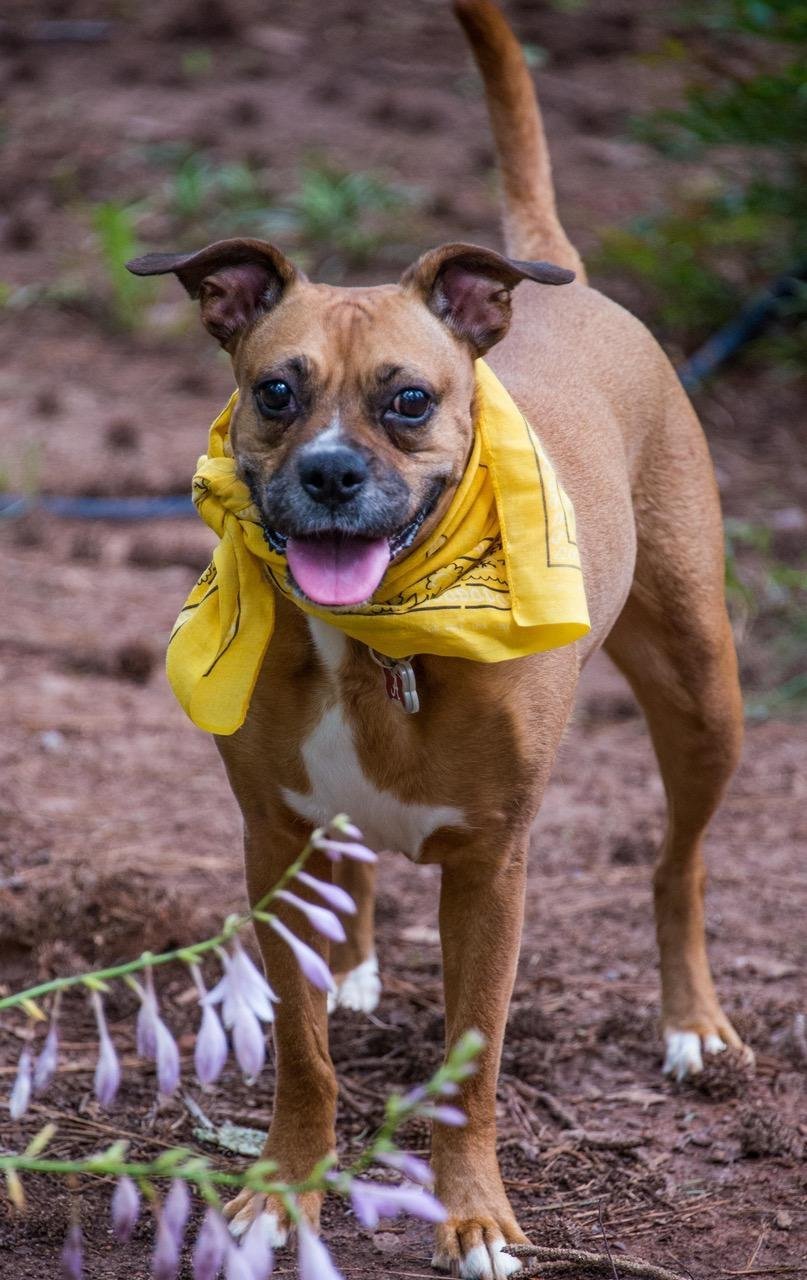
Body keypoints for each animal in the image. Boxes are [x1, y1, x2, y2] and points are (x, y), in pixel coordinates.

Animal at [128, 2, 747, 1275]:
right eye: (275, 390)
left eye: (407, 399)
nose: (328, 473)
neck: (375, 642)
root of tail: (566, 278)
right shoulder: (273, 838)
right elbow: (305, 1049)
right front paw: (283, 1190)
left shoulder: (492, 868)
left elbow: (473, 1059)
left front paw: (472, 1215)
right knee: (355, 876)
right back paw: (359, 960)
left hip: (702, 685)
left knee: (678, 863)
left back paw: (693, 1024)